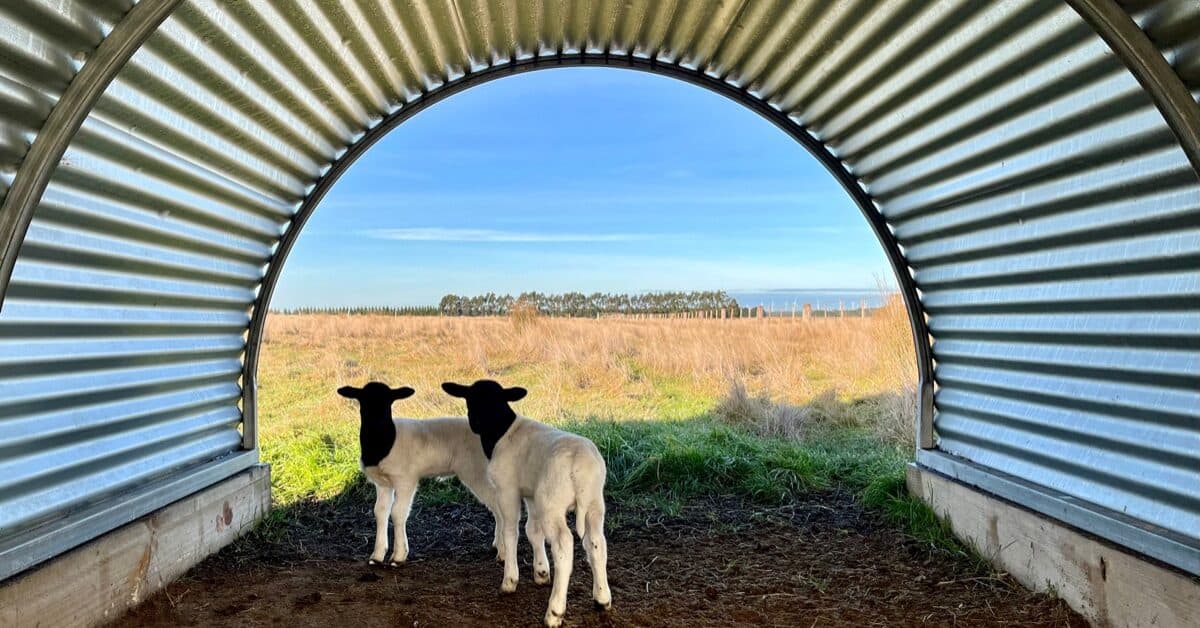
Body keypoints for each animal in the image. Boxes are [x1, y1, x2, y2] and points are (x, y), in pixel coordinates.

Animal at [331, 381, 532, 566]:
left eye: (388, 401)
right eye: (363, 401)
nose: (377, 422)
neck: (383, 441)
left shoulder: (406, 480)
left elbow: (397, 512)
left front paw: (398, 556)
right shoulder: (383, 483)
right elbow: (380, 512)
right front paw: (377, 556)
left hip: (477, 473)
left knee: (497, 507)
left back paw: (503, 552)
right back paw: (498, 546)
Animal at [441, 381, 609, 624]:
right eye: (471, 399)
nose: (475, 422)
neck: (502, 431)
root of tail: (580, 464)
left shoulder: (507, 490)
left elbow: (511, 531)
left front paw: (510, 579)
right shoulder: (530, 495)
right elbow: (533, 531)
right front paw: (541, 572)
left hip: (552, 502)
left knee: (563, 545)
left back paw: (554, 611)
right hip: (594, 503)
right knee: (597, 543)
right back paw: (602, 599)